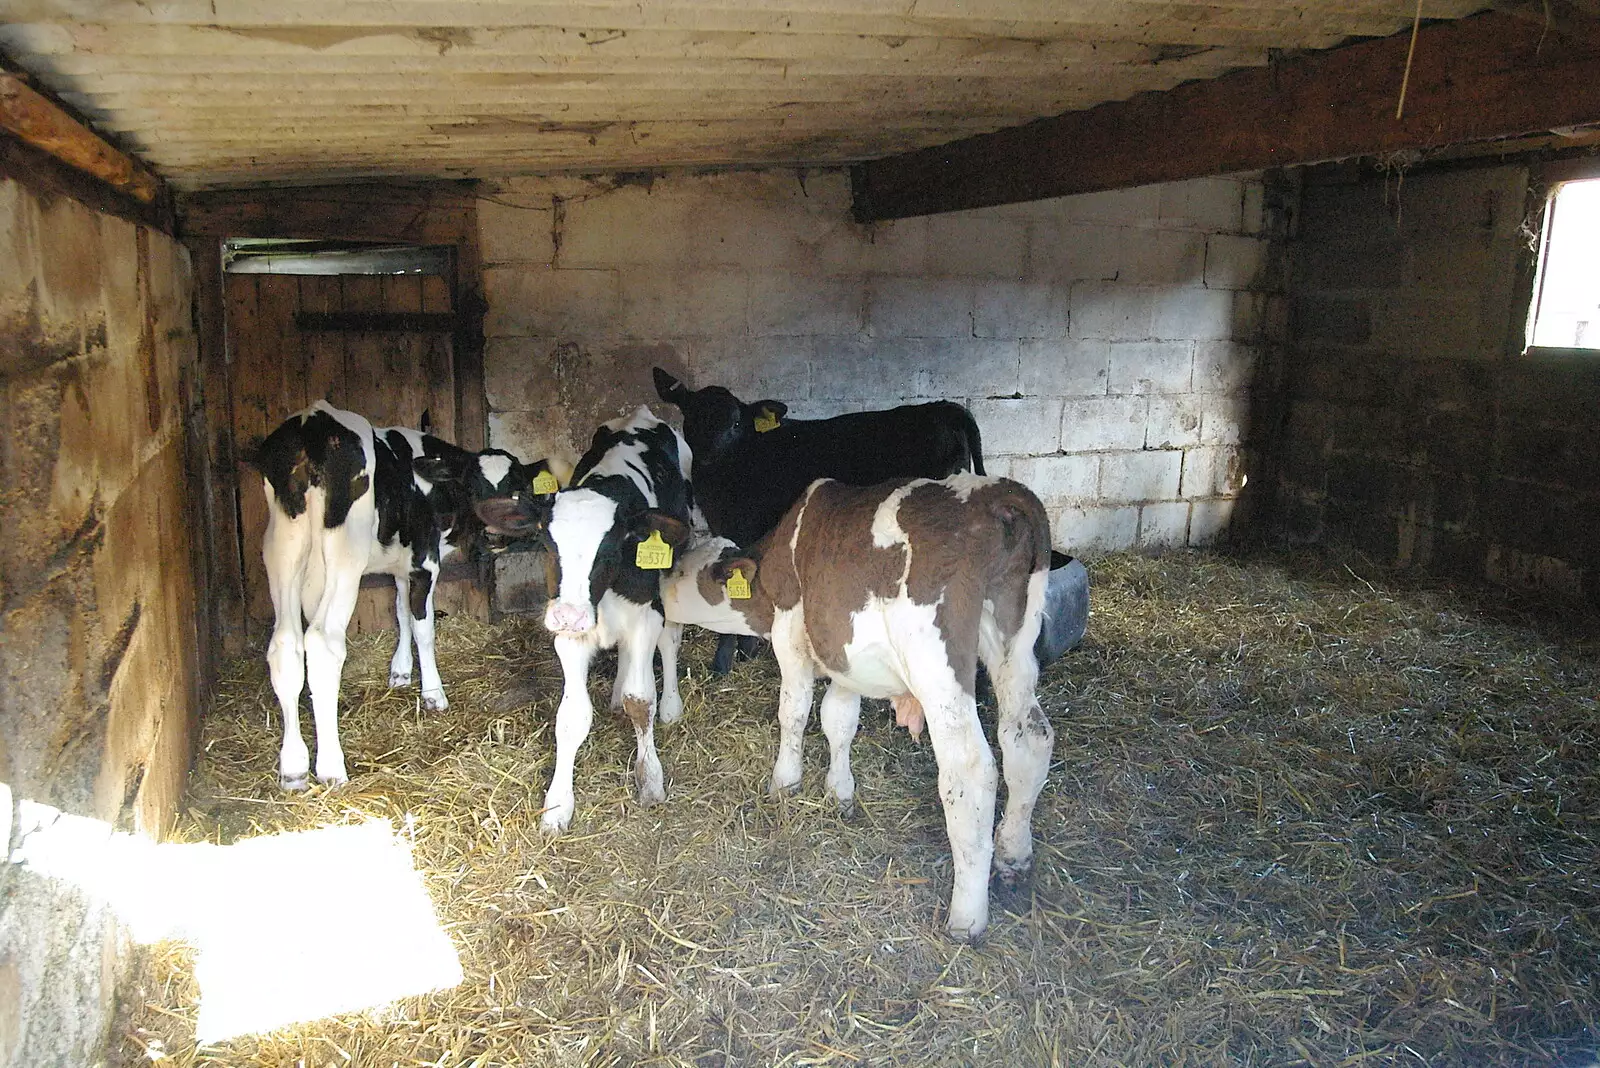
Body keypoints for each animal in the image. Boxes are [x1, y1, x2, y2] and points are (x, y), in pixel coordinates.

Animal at [249, 404, 550, 789]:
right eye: (471, 486)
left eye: (520, 488)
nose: (498, 532)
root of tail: (313, 422)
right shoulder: (425, 560)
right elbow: (423, 625)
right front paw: (433, 693)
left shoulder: (402, 565)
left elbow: (401, 611)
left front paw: (401, 673)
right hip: (344, 556)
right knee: (321, 642)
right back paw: (331, 766)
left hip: (280, 549)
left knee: (285, 644)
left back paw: (293, 765)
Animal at [476, 404, 697, 831]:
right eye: (547, 543)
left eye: (610, 548)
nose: (569, 615)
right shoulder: (570, 635)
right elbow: (571, 717)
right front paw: (558, 805)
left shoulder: (645, 616)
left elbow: (641, 699)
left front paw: (650, 779)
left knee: (671, 639)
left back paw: (671, 705)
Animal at [665, 476, 1062, 940]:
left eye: (679, 571)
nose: (657, 592)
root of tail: (998, 495)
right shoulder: (842, 653)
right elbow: (838, 719)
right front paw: (839, 792)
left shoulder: (790, 632)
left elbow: (794, 711)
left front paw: (785, 781)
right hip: (1013, 642)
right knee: (1028, 737)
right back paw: (1013, 857)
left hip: (937, 662)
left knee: (969, 769)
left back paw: (966, 917)